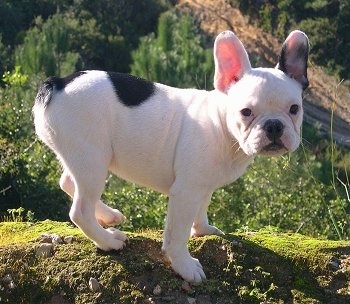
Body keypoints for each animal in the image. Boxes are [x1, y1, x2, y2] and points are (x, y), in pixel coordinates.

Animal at [33, 30, 308, 282]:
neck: (221, 125)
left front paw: (203, 229)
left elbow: (202, 208)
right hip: (92, 158)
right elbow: (177, 234)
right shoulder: (185, 192)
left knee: (68, 182)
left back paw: (109, 216)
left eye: (295, 109)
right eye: (246, 112)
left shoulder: (202, 186)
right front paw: (184, 266)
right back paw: (108, 241)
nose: (274, 126)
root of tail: (58, 83)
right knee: (80, 211)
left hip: (82, 156)